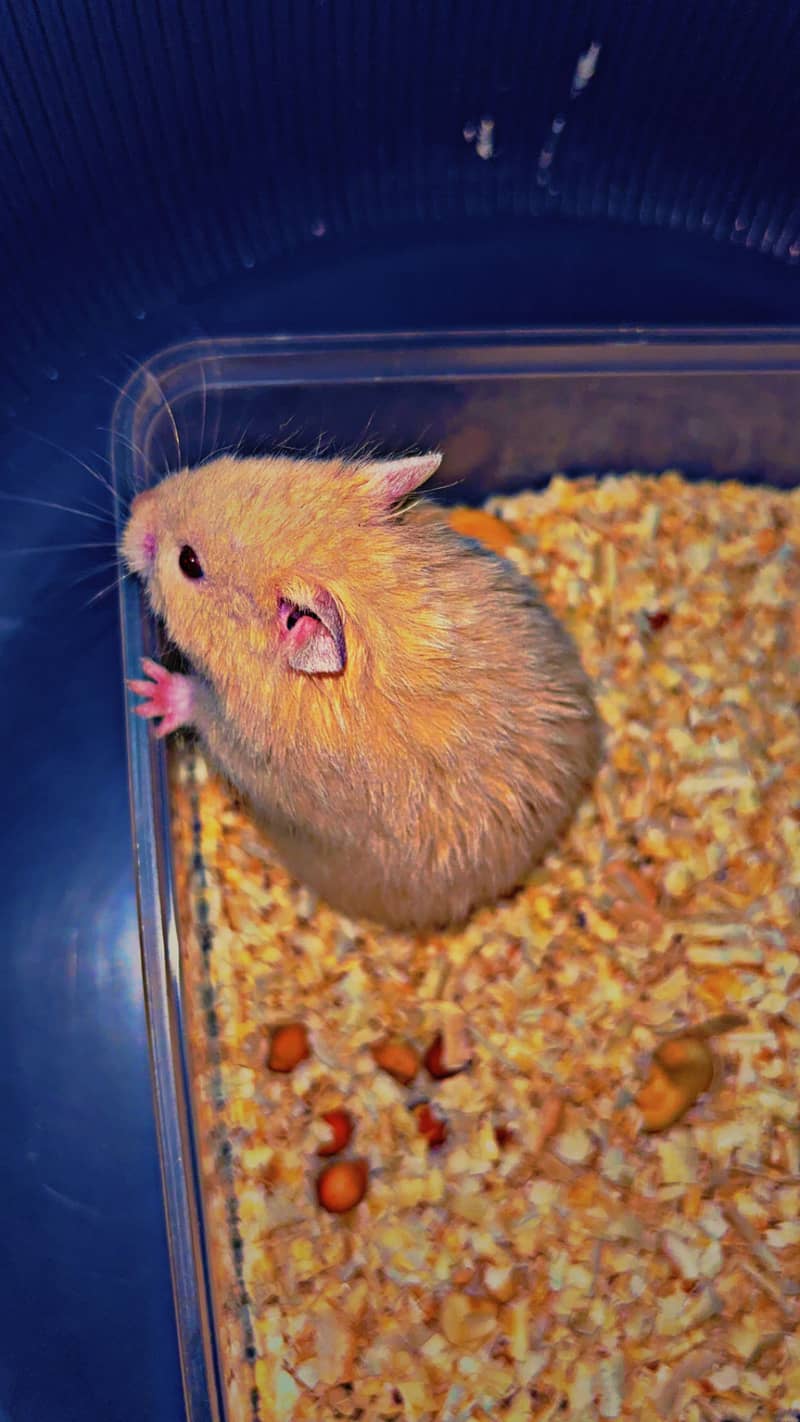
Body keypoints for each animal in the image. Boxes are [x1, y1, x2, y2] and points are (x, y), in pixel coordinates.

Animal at [122, 453, 602, 931]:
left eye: (189, 562)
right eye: (233, 468)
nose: (133, 507)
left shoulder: (242, 743)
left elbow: (197, 706)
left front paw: (148, 690)